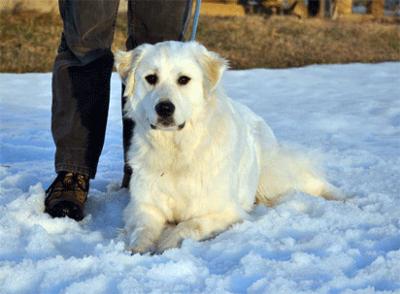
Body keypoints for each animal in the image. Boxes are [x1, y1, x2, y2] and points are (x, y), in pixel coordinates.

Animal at [114, 40, 342, 254]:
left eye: (183, 80)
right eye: (151, 78)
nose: (164, 108)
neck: (177, 150)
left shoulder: (225, 211)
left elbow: (189, 226)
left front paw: (167, 243)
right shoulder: (143, 206)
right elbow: (143, 229)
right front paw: (137, 248)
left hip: (271, 177)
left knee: (311, 181)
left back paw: (344, 198)